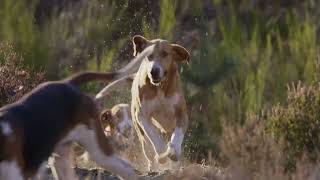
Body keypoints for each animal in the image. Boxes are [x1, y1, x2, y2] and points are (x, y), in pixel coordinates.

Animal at [95, 35, 190, 172]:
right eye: (148, 56)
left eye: (165, 54)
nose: (154, 71)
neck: (159, 88)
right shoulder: (142, 116)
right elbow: (153, 136)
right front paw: (162, 154)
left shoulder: (181, 113)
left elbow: (178, 134)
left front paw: (174, 151)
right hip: (141, 135)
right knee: (149, 149)